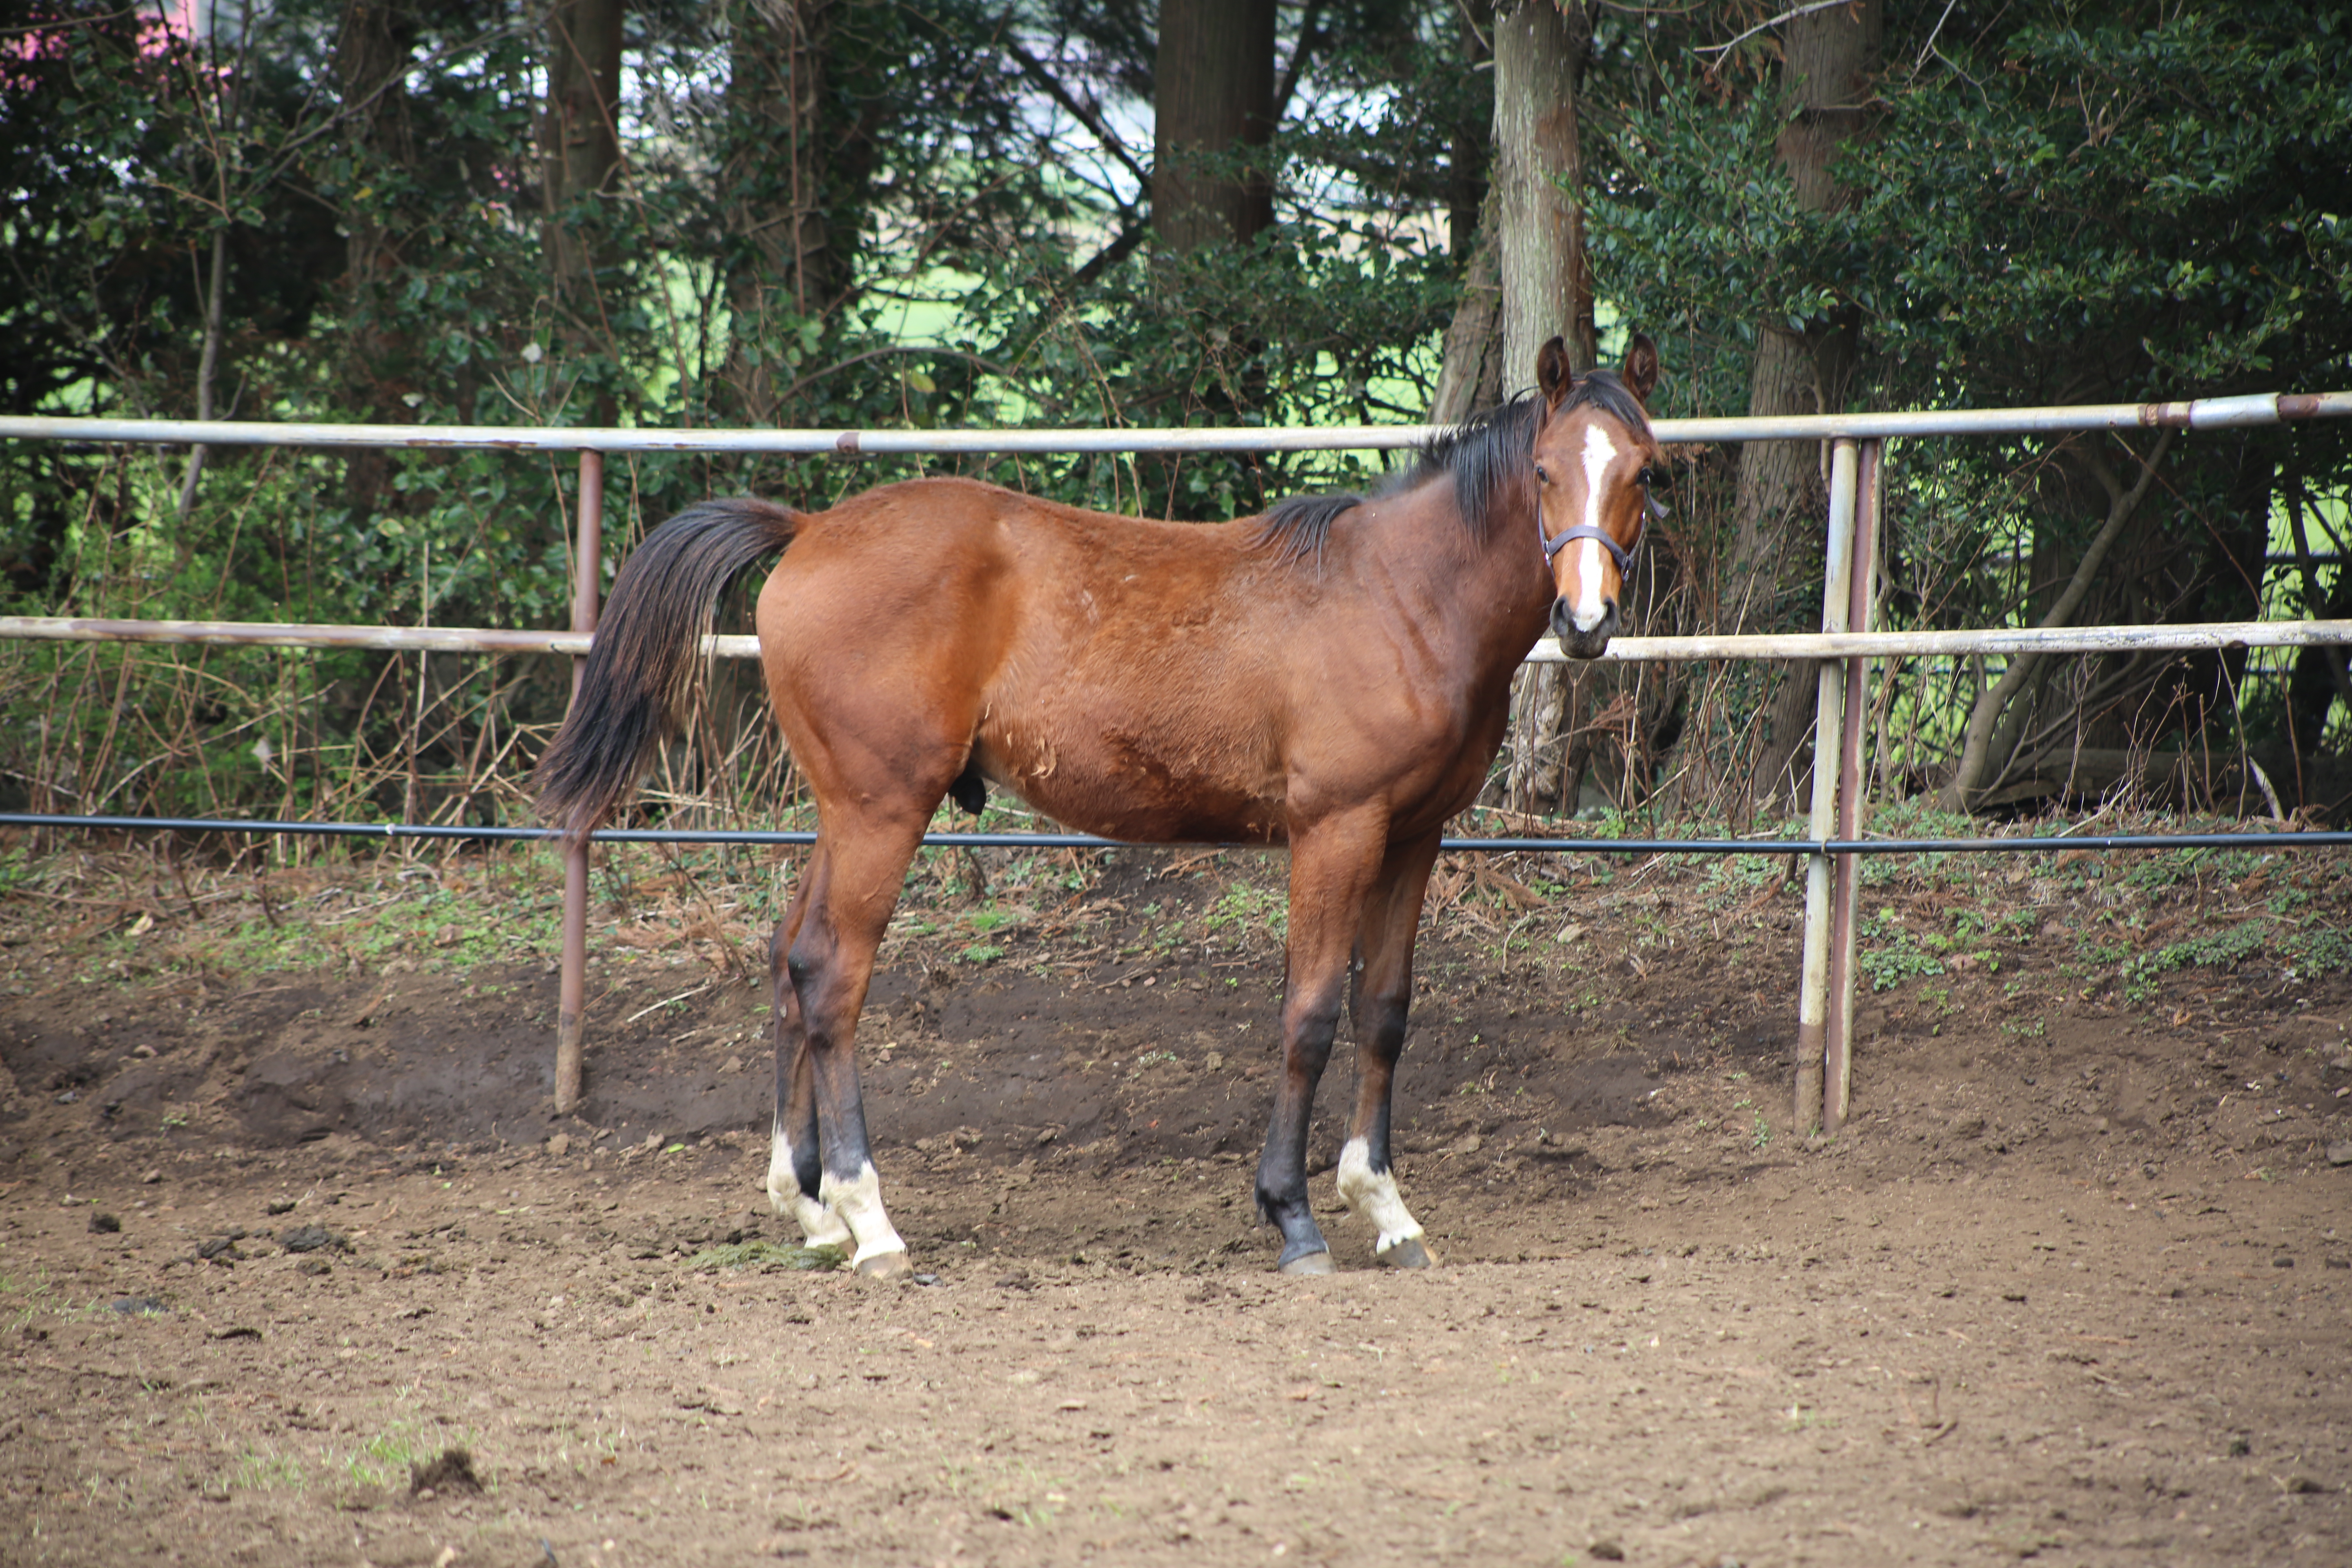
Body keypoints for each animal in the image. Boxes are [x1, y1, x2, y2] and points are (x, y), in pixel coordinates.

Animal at [539, 334, 1665, 1278]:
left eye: (1643, 471)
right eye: (1541, 471)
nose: (1586, 621)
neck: (1399, 594)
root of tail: (811, 527)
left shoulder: (1413, 837)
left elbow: (1383, 1013)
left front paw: (1385, 1210)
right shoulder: (1334, 832)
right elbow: (1308, 1014)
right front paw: (1294, 1215)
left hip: (843, 810)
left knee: (786, 959)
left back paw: (809, 1207)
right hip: (880, 810)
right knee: (830, 976)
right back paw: (870, 1221)